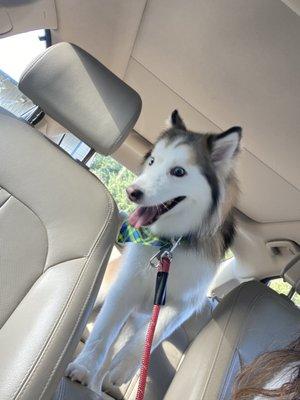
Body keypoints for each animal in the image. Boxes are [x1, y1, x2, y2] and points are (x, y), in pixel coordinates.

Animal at [66, 109, 241, 390]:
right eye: (152, 162)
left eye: (178, 171)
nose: (131, 192)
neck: (172, 245)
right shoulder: (124, 289)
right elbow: (102, 335)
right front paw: (84, 367)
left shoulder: (183, 306)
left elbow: (152, 336)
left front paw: (123, 368)